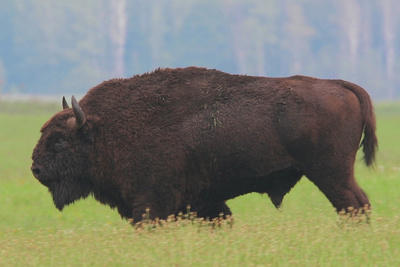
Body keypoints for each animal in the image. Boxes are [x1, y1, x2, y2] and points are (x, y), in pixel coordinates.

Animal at [31, 67, 378, 222]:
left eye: (59, 141)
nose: (35, 169)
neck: (104, 128)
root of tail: (339, 85)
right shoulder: (205, 203)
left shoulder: (151, 205)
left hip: (330, 173)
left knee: (354, 204)